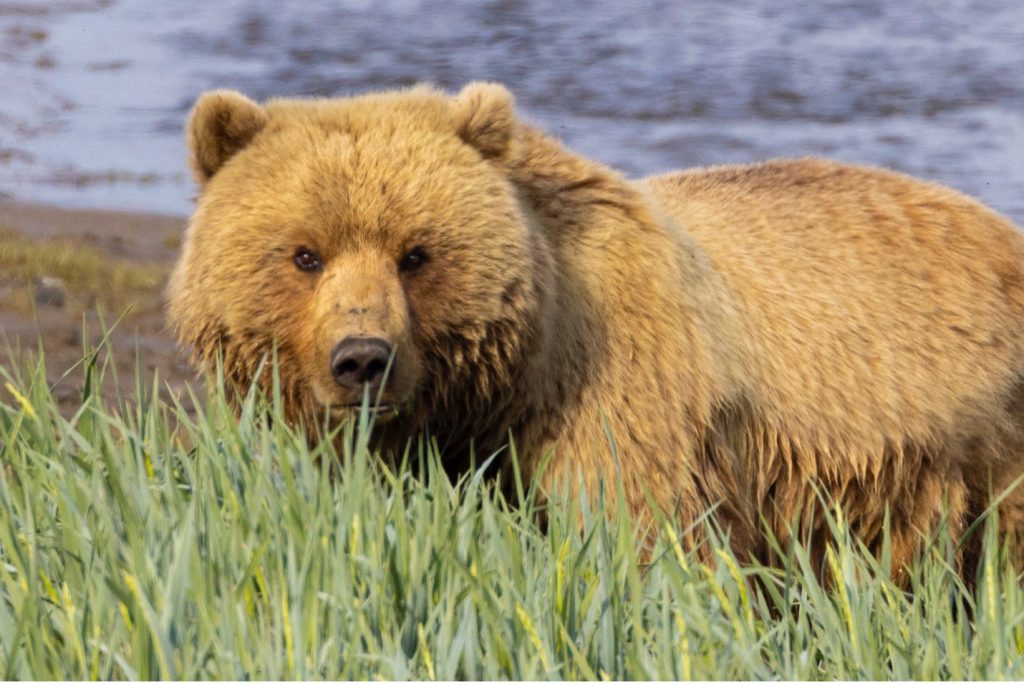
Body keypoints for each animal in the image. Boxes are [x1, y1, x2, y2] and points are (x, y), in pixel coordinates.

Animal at [169, 81, 1024, 573]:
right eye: (303, 253)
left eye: (416, 252)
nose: (362, 359)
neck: (514, 376)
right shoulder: (425, 457)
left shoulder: (625, 403)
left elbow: (645, 541)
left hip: (981, 446)